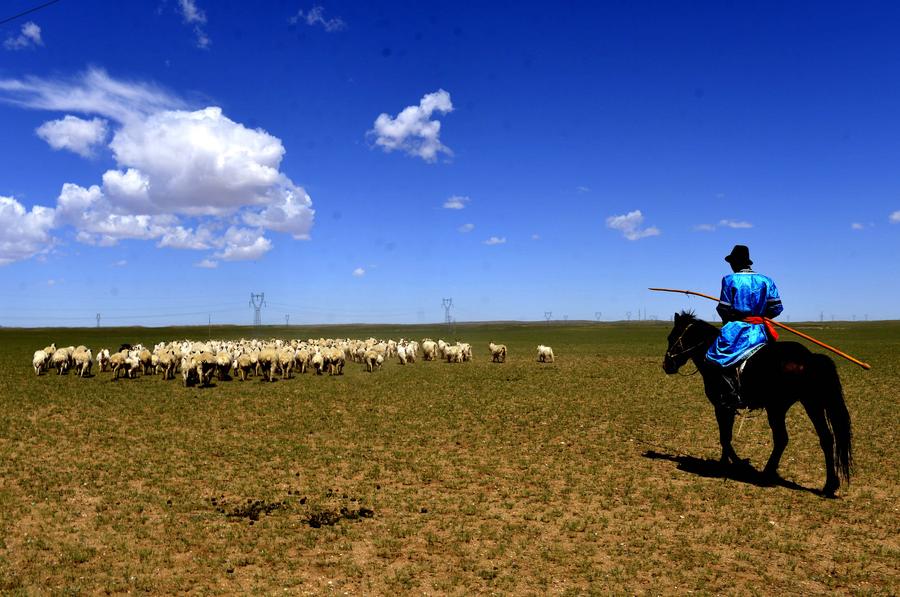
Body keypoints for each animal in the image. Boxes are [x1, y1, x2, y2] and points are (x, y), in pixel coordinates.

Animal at [660, 310, 852, 496]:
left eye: (671, 337)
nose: (667, 365)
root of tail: (810, 358)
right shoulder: (728, 408)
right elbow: (726, 436)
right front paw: (726, 463)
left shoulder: (721, 406)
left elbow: (724, 437)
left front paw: (735, 464)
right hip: (810, 404)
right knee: (825, 438)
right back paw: (829, 485)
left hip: (779, 407)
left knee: (782, 438)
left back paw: (767, 474)